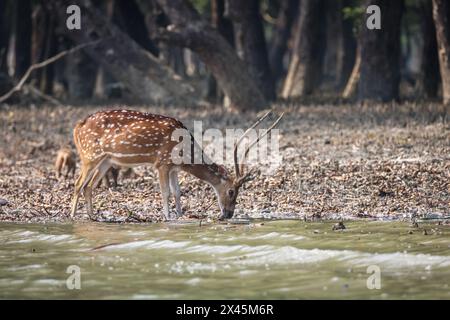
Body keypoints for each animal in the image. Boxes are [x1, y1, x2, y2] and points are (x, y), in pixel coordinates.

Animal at [70, 109, 282, 220]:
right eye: (231, 191)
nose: (229, 214)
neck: (185, 153)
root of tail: (77, 126)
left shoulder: (174, 168)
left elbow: (177, 192)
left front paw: (180, 215)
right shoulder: (162, 163)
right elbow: (165, 192)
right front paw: (168, 216)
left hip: (106, 160)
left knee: (89, 186)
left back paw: (94, 217)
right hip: (89, 155)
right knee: (78, 183)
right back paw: (72, 216)